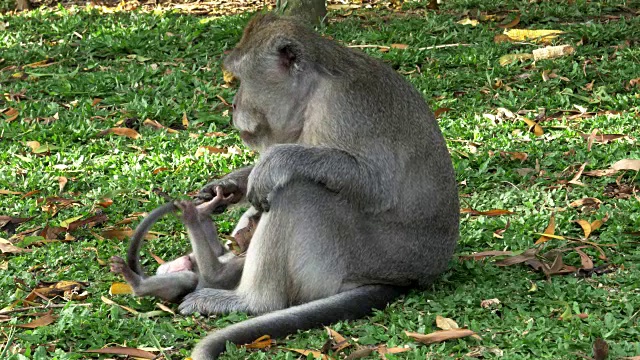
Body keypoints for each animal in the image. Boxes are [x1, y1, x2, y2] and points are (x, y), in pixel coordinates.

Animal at [109, 187, 244, 302]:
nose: (239, 238)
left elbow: (215, 275)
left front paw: (190, 216)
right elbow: (217, 250)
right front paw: (207, 206)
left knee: (190, 278)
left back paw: (136, 284)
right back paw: (204, 209)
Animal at [188, 12, 458, 358]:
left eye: (241, 78)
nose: (233, 105)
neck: (312, 90)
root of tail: (410, 277)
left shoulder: (346, 106)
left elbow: (375, 184)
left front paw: (275, 162)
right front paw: (228, 186)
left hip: (368, 256)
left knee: (300, 191)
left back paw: (250, 300)